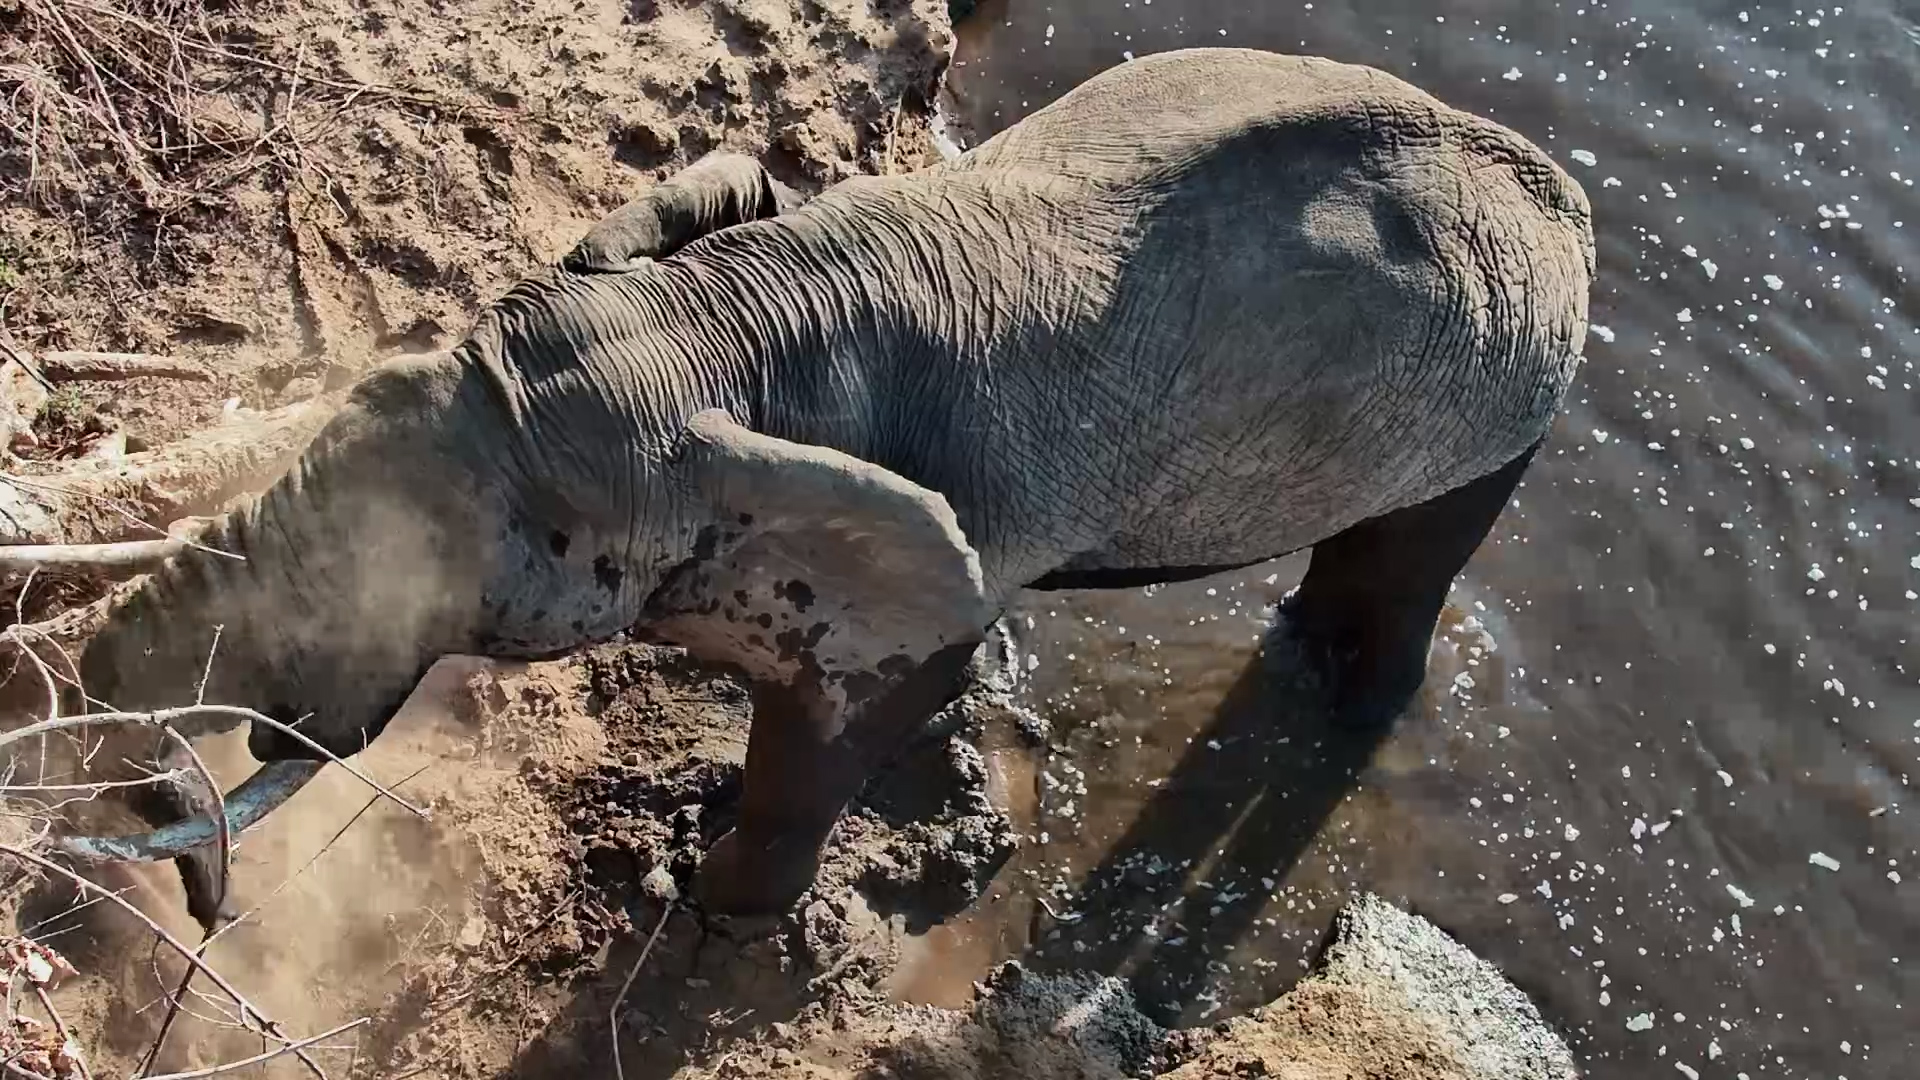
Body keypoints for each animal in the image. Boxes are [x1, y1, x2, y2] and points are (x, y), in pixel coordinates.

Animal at [59, 47, 1593, 931]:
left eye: (463, 572)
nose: (201, 901)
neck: (713, 327)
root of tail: (1558, 191)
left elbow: (862, 708)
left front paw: (710, 905)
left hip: (1500, 393)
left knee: (1400, 575)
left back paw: (1351, 710)